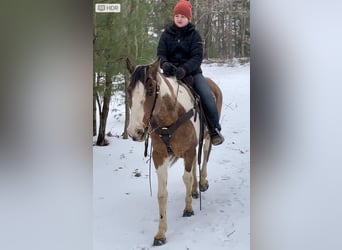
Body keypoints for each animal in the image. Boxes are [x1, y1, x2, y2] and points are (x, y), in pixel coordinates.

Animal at [125, 58, 222, 246]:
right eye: (128, 90)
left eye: (150, 90)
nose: (135, 132)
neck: (171, 114)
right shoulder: (160, 156)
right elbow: (162, 194)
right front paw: (161, 233)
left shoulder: (189, 150)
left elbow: (186, 177)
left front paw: (188, 208)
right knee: (195, 165)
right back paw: (194, 190)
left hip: (206, 137)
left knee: (205, 156)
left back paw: (202, 183)